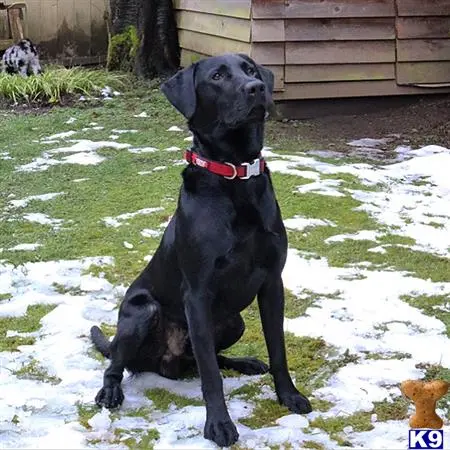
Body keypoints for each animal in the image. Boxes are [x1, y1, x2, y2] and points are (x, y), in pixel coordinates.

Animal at [90, 52, 312, 446]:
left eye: (250, 70)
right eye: (218, 76)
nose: (256, 88)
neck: (235, 176)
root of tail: (166, 362)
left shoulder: (273, 283)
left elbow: (278, 350)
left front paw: (289, 395)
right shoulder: (197, 293)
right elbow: (210, 375)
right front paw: (219, 425)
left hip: (234, 321)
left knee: (206, 359)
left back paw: (245, 363)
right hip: (141, 312)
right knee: (118, 363)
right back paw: (111, 391)